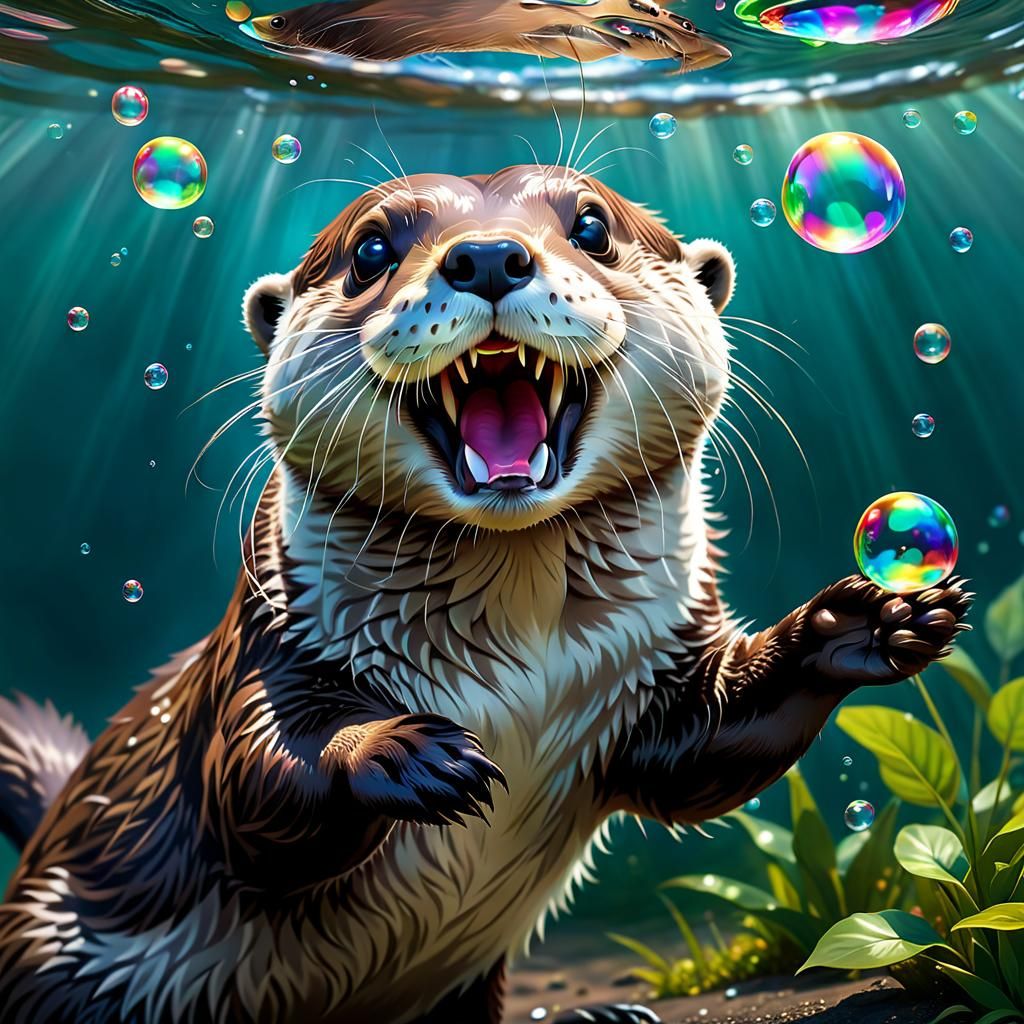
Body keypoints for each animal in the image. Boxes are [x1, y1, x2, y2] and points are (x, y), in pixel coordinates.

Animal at [0, 165, 969, 1024]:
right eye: (371, 249)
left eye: (591, 226)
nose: (491, 255)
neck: (519, 667)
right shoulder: (274, 638)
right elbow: (252, 786)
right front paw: (401, 752)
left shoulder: (651, 672)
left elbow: (705, 749)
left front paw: (865, 622)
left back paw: (607, 1017)